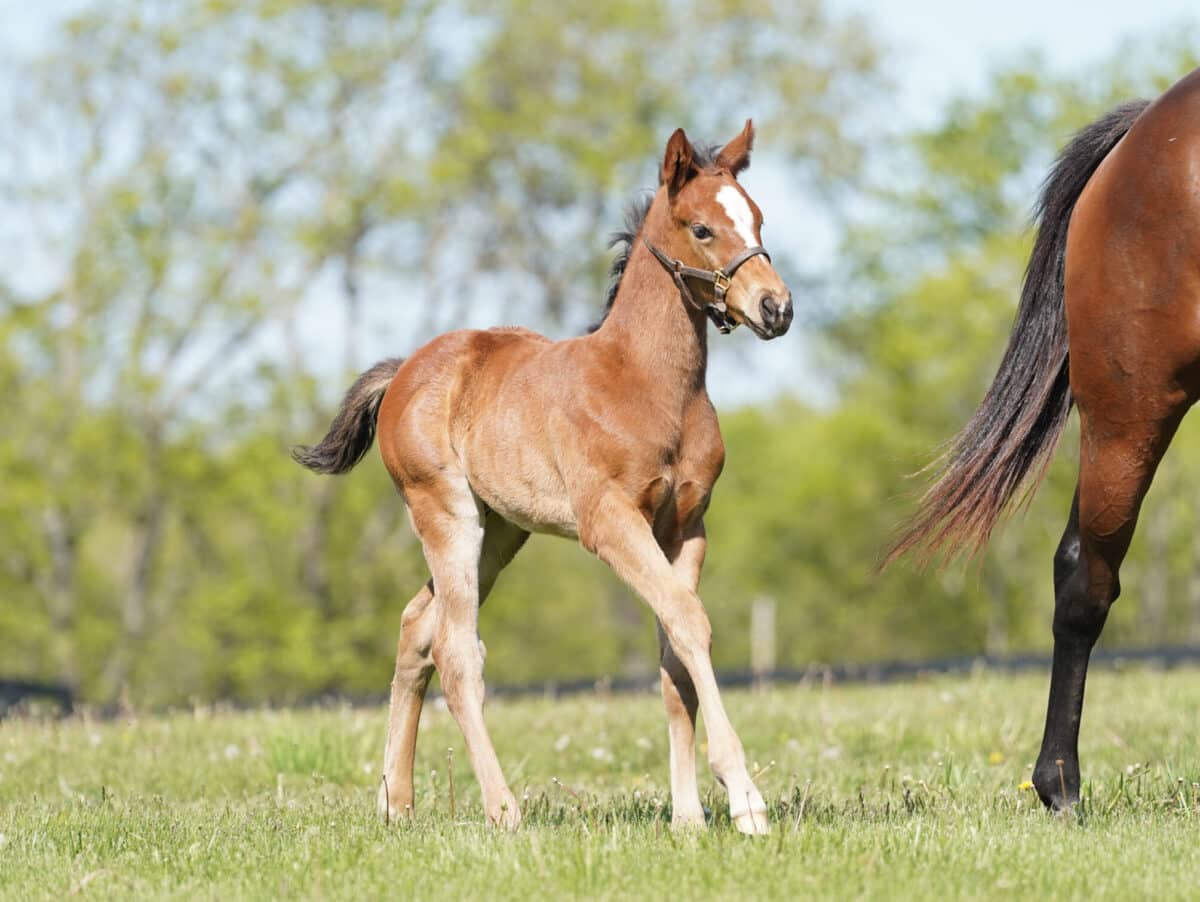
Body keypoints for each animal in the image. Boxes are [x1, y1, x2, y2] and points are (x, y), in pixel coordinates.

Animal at [295, 119, 792, 830]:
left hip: (502, 531)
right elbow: (688, 620)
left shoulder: (687, 526)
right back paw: (503, 810)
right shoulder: (608, 521)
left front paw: (689, 817)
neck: (648, 385)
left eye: (757, 218)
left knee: (417, 626)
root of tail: (406, 369)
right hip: (446, 514)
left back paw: (396, 803)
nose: (776, 308)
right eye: (701, 228)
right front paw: (744, 799)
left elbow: (675, 650)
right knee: (457, 652)